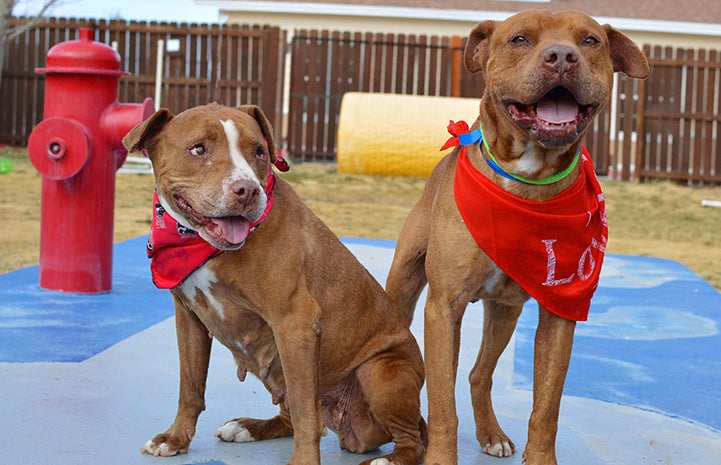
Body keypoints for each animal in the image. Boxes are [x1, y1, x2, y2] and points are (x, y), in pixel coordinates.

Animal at [123, 102, 424, 464]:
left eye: (259, 151)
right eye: (198, 149)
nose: (248, 190)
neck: (202, 245)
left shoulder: (295, 323)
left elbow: (306, 413)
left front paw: (304, 462)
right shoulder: (189, 318)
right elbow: (190, 386)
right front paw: (175, 438)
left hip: (380, 372)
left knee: (410, 439)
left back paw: (389, 458)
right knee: (292, 416)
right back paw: (248, 427)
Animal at [386, 10, 648, 464]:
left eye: (590, 41)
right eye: (520, 39)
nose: (562, 56)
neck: (528, 178)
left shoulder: (560, 312)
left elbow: (546, 408)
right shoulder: (443, 306)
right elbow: (441, 403)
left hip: (504, 313)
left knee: (479, 373)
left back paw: (491, 433)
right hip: (402, 286)